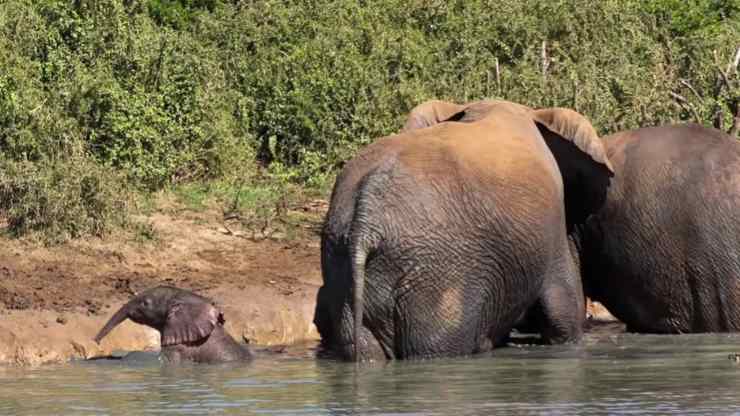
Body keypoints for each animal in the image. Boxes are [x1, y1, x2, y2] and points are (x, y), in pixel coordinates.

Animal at [314, 99, 613, 361]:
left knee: (364, 349)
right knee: (435, 349)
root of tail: (367, 222)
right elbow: (563, 308)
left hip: (342, 257)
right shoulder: (552, 226)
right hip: (439, 274)